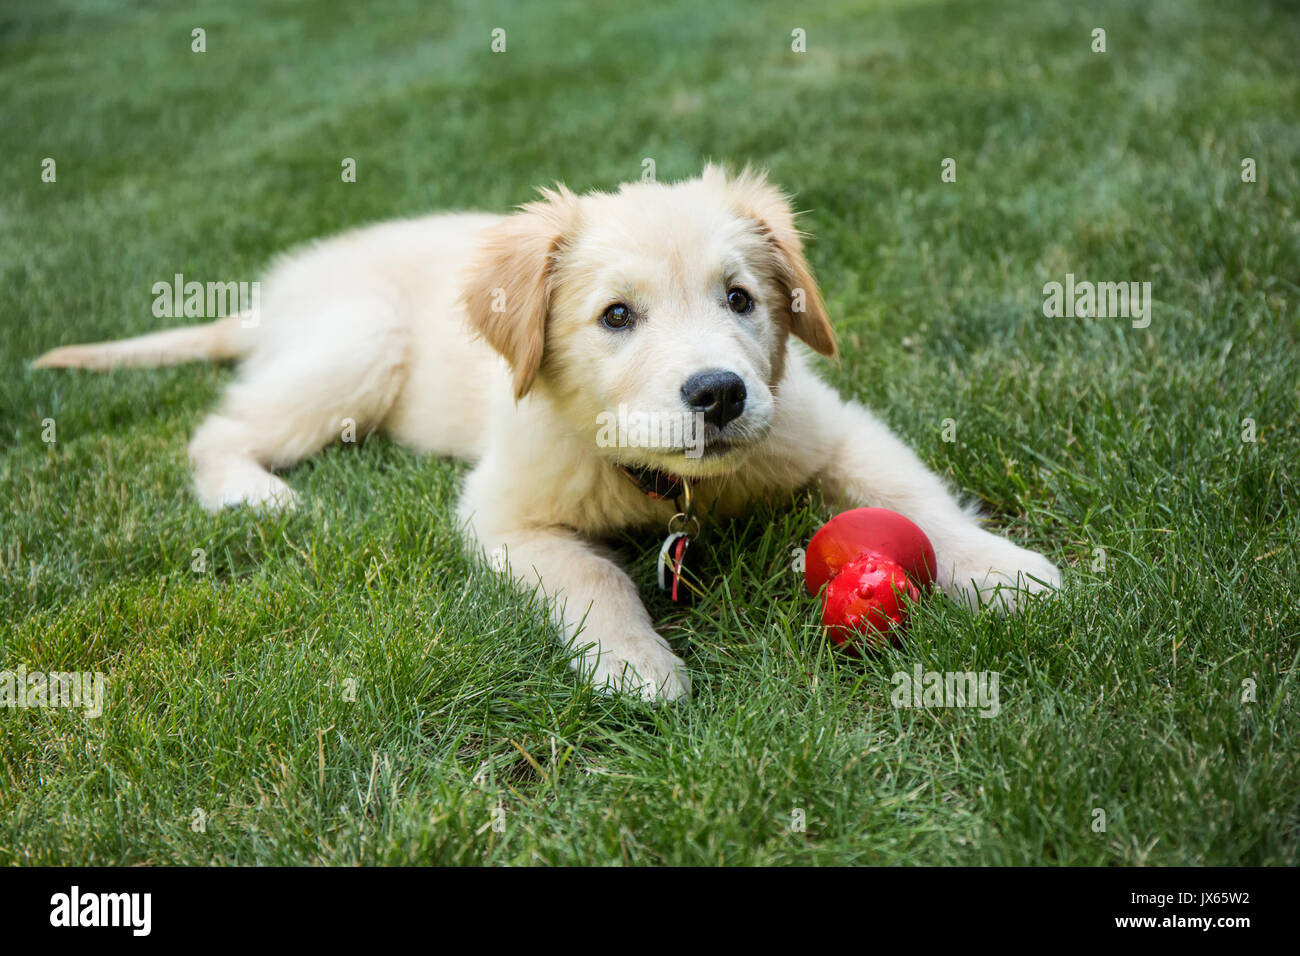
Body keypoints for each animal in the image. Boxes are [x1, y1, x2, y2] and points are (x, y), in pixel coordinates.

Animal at [35, 164, 1060, 702]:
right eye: (616, 317)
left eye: (740, 299)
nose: (721, 394)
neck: (664, 483)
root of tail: (270, 299)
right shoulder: (505, 515)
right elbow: (591, 576)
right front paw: (635, 663)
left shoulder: (823, 425)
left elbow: (911, 496)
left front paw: (1002, 571)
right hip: (361, 340)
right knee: (218, 427)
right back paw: (252, 492)